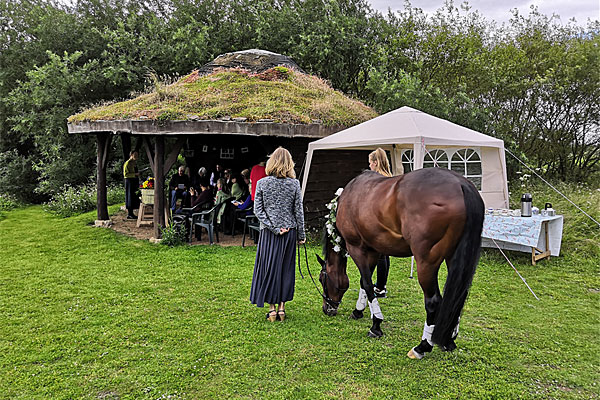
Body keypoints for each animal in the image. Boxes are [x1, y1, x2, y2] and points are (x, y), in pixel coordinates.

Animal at [316, 168, 486, 360]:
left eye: (322, 279)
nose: (327, 308)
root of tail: (461, 184)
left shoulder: (357, 248)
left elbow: (367, 283)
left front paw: (376, 325)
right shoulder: (373, 250)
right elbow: (364, 283)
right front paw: (358, 311)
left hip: (426, 263)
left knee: (433, 301)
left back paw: (422, 346)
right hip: (454, 258)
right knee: (457, 298)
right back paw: (449, 340)